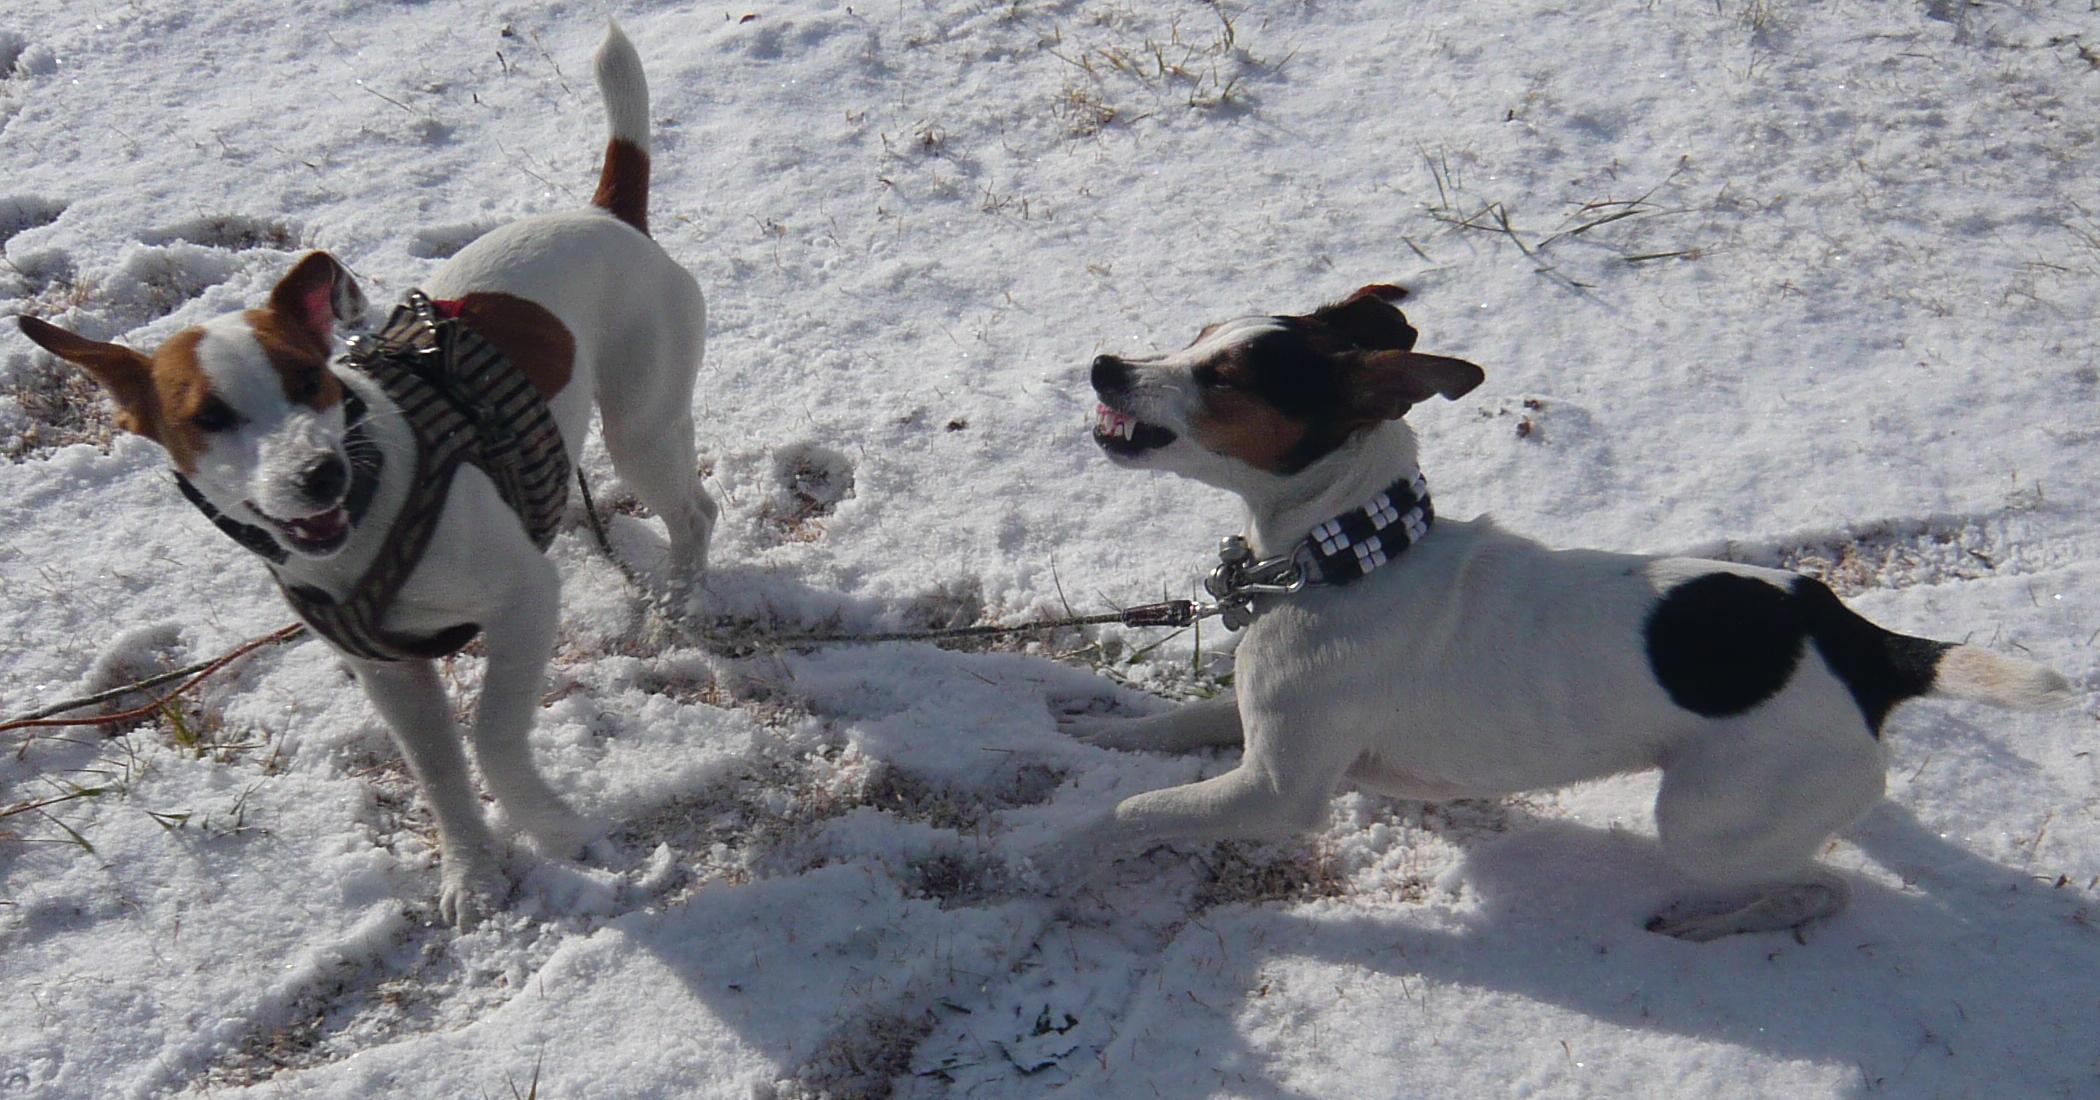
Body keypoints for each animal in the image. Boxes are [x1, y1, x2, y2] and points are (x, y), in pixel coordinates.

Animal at [14, 21, 713, 923]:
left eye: (309, 381)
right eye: (209, 417)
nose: (318, 477)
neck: (371, 523)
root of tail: (605, 213)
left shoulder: (525, 598)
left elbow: (491, 735)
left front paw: (554, 828)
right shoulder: (390, 669)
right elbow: (439, 768)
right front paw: (470, 872)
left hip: (642, 425)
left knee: (694, 513)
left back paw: (678, 605)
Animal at [1058, 287, 2074, 940]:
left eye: (1224, 377)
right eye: (1194, 336)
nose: (1104, 365)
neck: (1347, 556)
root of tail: (1862, 642)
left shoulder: (1280, 792)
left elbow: (1131, 812)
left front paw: (1050, 849)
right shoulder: (1263, 726)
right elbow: (1175, 723)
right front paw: (1094, 725)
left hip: (1703, 822)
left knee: (1821, 889)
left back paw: (1717, 923)